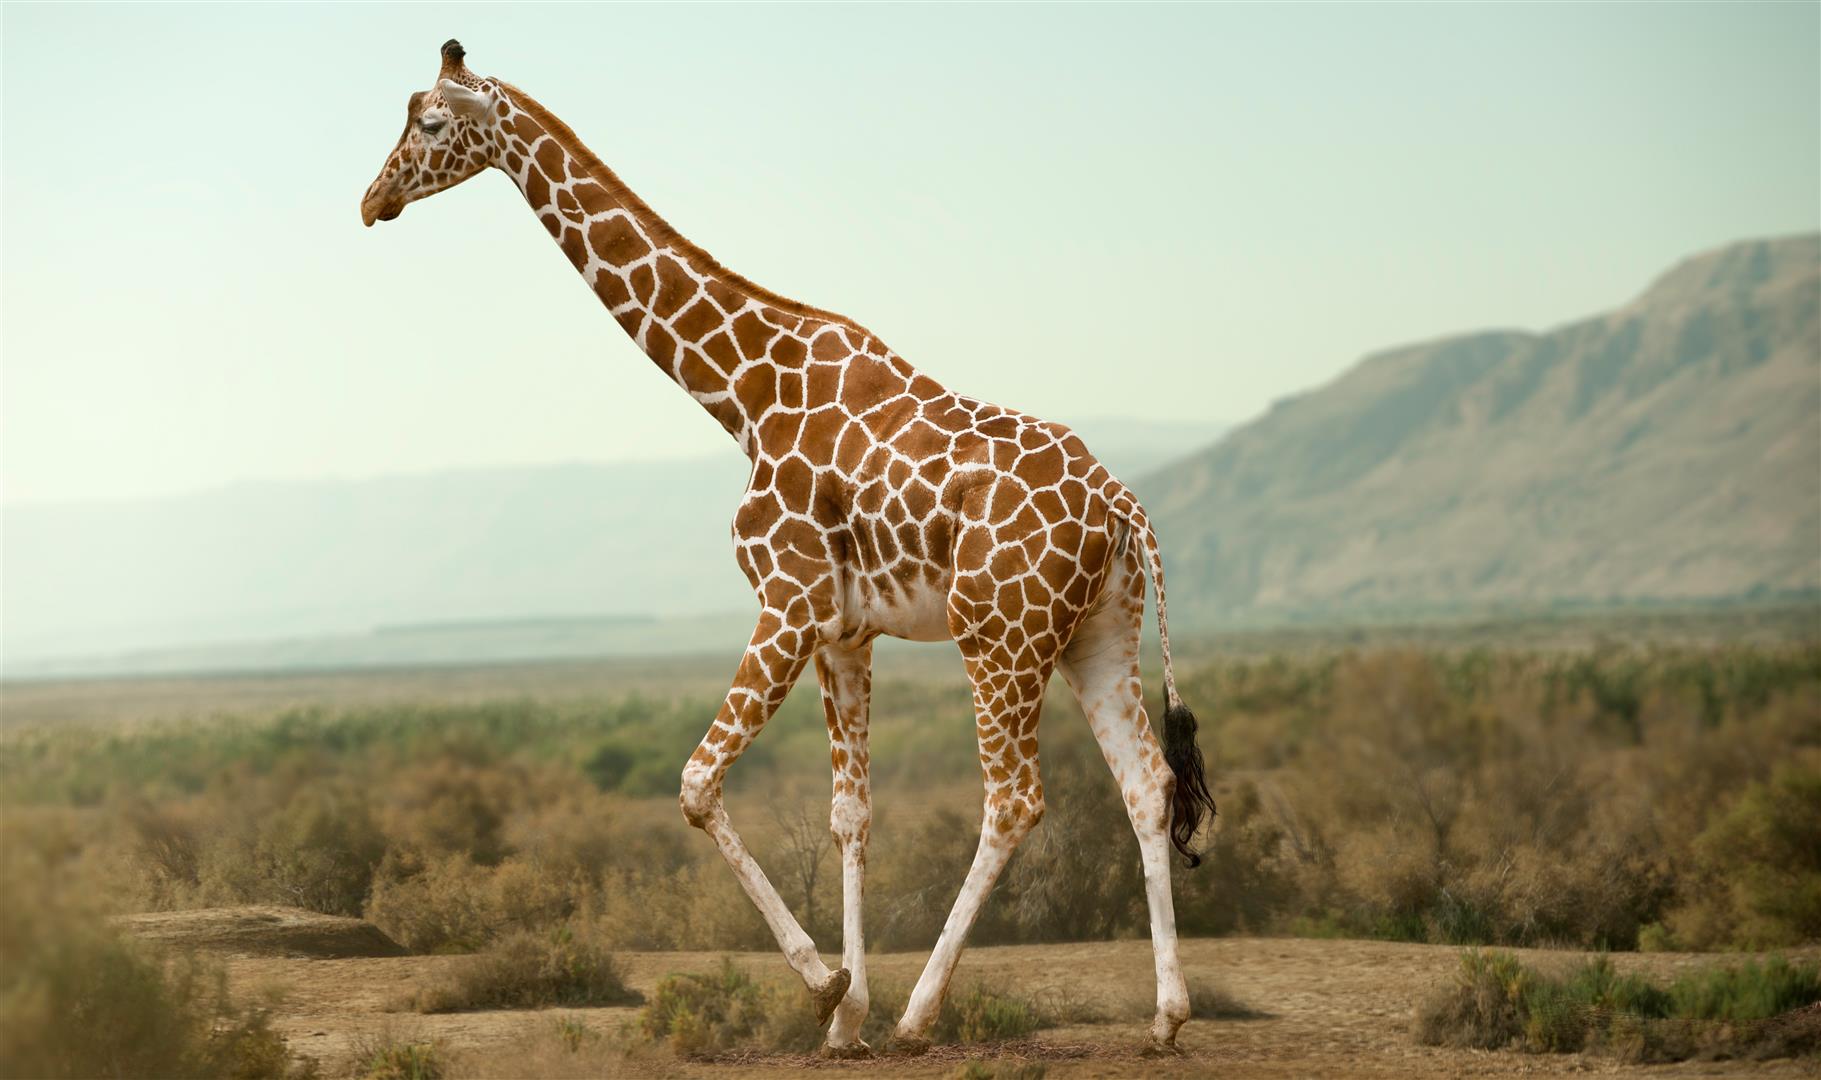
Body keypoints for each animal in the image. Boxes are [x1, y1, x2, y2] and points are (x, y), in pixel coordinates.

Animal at [362, 40, 1216, 1056]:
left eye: (429, 123)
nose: (372, 200)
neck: (741, 393)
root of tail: (1122, 505)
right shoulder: (844, 632)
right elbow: (851, 815)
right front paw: (844, 1020)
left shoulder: (788, 601)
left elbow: (696, 785)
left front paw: (827, 985)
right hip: (1097, 635)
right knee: (1147, 784)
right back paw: (1166, 1016)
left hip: (998, 637)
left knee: (1013, 800)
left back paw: (922, 1017)